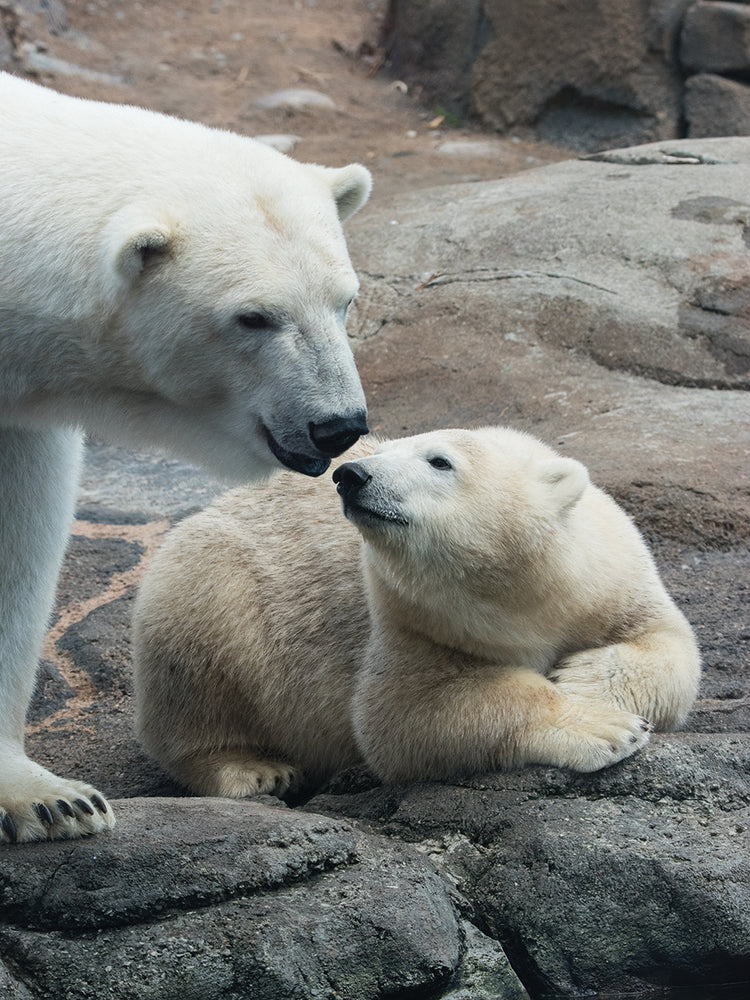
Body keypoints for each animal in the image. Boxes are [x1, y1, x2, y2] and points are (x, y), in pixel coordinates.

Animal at [132, 427, 701, 798]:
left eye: (439, 461)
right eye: (381, 451)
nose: (350, 474)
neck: (523, 596)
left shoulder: (610, 577)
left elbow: (672, 646)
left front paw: (583, 676)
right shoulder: (410, 622)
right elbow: (405, 716)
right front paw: (606, 727)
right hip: (210, 584)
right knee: (198, 663)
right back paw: (255, 771)